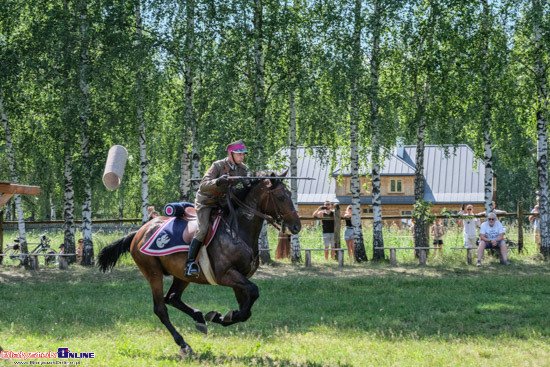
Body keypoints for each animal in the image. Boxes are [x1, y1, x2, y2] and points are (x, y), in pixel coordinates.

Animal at [96, 175, 302, 356]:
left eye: (290, 195)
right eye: (281, 197)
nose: (296, 226)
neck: (236, 230)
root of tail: (139, 231)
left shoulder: (239, 279)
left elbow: (246, 308)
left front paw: (222, 316)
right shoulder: (226, 275)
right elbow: (252, 293)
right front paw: (223, 316)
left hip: (182, 275)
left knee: (172, 298)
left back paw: (199, 318)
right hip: (153, 273)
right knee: (161, 308)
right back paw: (183, 343)